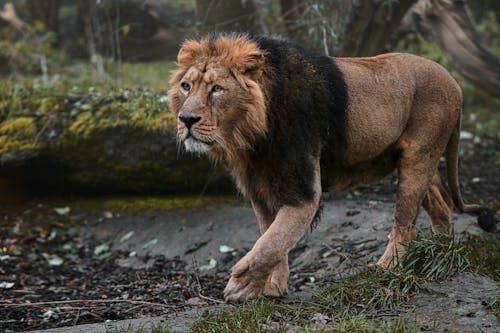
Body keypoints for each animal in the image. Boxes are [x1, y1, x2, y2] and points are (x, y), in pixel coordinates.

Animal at [169, 35, 484, 302]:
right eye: (186, 86)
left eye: (216, 89)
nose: (186, 119)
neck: (252, 136)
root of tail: (453, 80)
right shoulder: (259, 188)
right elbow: (271, 237)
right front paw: (270, 286)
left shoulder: (304, 193)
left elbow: (272, 241)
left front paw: (241, 284)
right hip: (415, 159)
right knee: (442, 207)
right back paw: (440, 255)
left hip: (418, 156)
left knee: (405, 225)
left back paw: (384, 269)